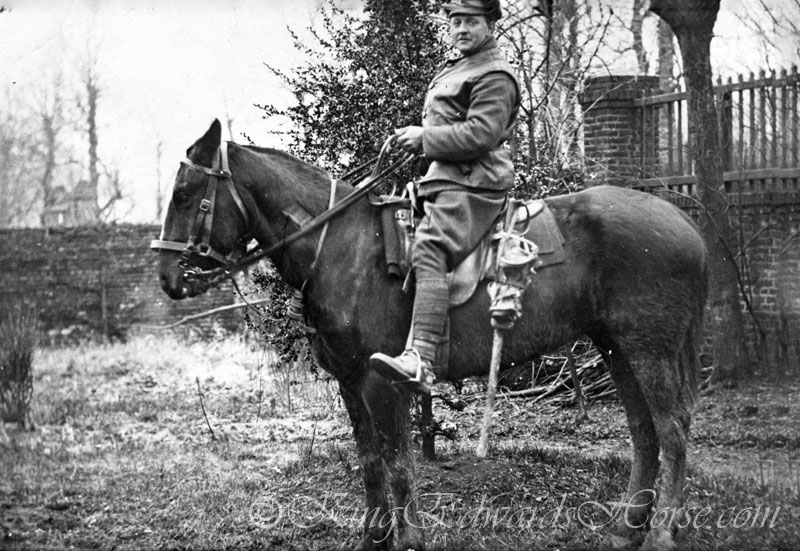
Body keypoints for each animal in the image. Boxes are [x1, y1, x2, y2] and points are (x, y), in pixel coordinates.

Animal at [155, 121, 708, 551]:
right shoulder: (350, 383)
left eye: (183, 195)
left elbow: (398, 464)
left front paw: (408, 539)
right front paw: (372, 538)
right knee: (644, 432)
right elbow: (371, 464)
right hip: (617, 349)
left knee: (672, 430)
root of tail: (684, 223)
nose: (167, 278)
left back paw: (660, 534)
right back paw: (626, 527)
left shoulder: (382, 384)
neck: (341, 247)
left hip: (648, 349)